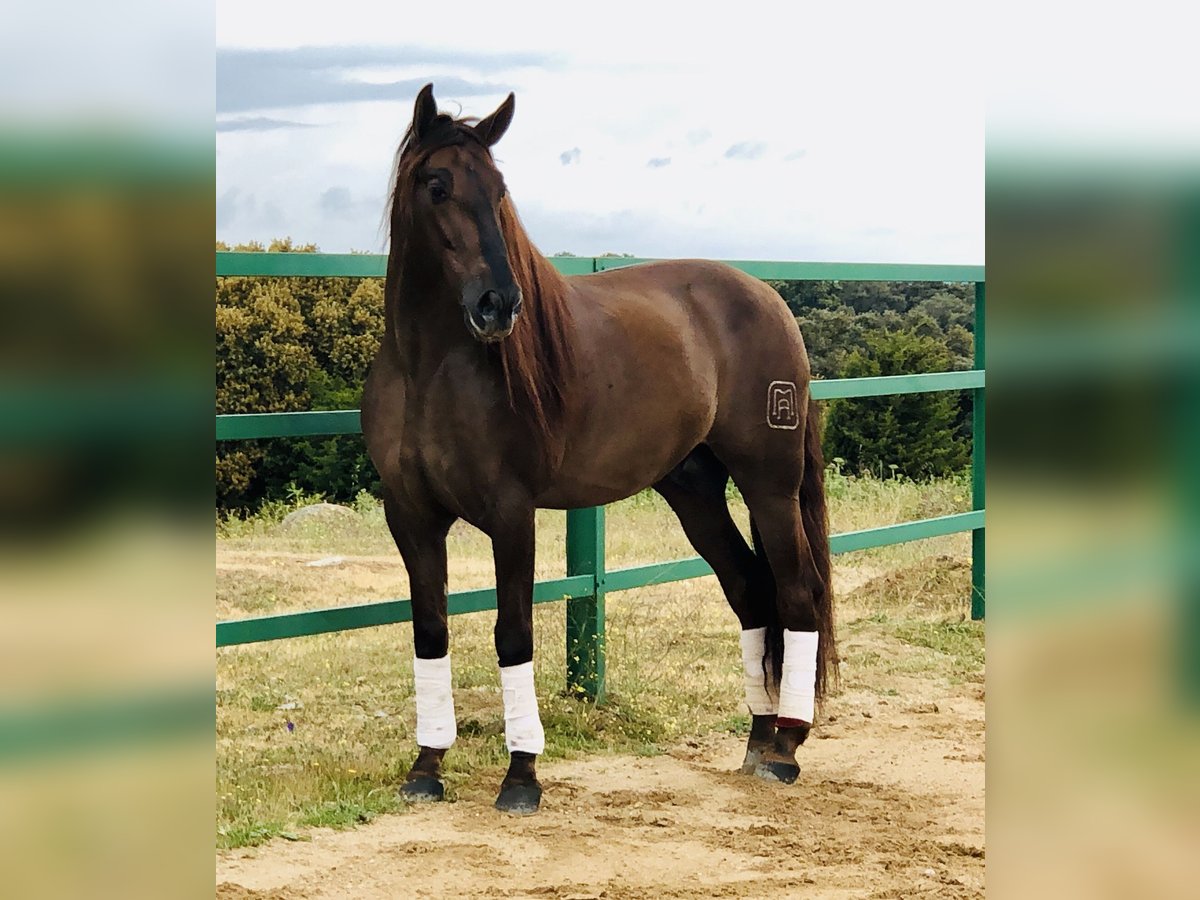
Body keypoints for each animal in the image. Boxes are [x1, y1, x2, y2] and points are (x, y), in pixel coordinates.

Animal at [360, 84, 840, 816]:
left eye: (498, 190)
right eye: (437, 185)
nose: (499, 304)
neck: (429, 371)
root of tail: (768, 298)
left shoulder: (511, 514)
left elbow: (512, 633)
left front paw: (521, 776)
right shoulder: (410, 515)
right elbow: (431, 630)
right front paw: (426, 766)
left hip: (770, 483)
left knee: (796, 590)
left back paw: (786, 746)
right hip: (693, 490)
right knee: (749, 589)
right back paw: (758, 740)